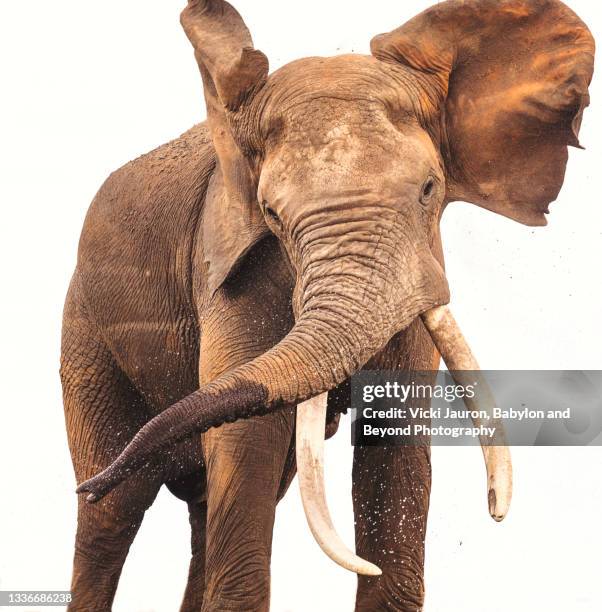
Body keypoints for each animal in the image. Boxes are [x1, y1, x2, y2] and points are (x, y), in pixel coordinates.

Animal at [61, 1, 592, 612]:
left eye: (429, 190)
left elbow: (395, 440)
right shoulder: (226, 275)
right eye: (271, 212)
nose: (496, 512)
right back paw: (102, 491)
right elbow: (249, 440)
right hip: (86, 332)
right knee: (112, 515)